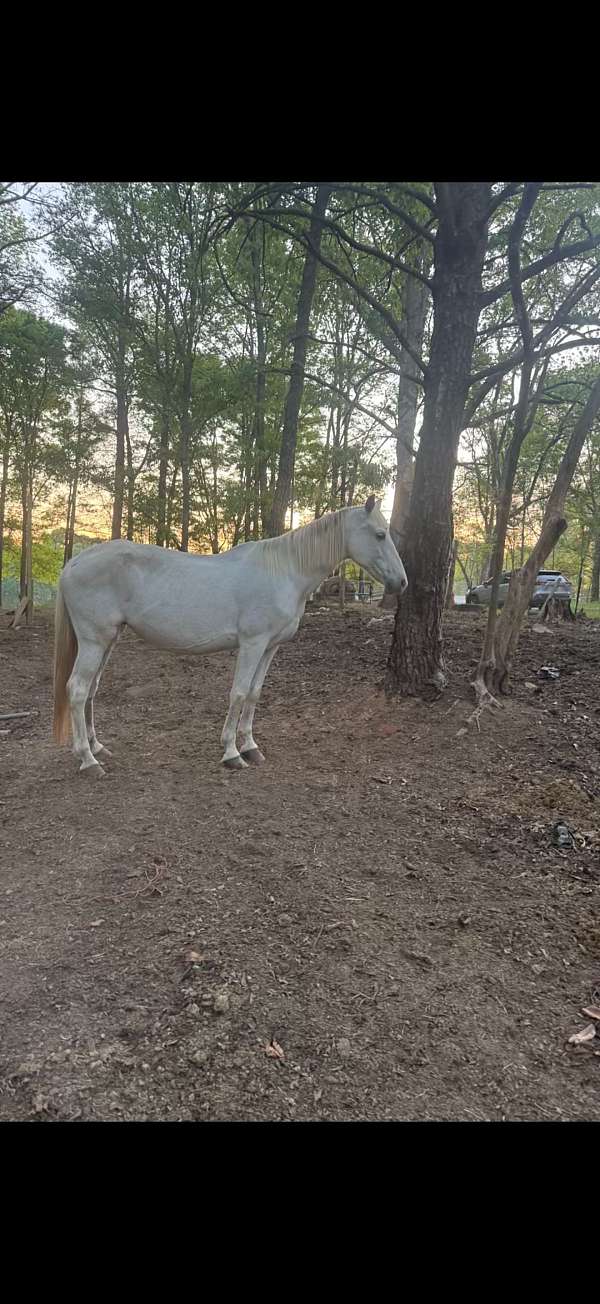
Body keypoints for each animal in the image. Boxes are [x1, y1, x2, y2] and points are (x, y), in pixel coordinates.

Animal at [53, 495, 407, 776]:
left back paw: (97, 747)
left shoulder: (270, 648)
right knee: (78, 689)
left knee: (92, 689)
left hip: (108, 640)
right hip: (94, 642)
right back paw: (88, 760)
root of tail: (74, 563)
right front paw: (232, 753)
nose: (401, 582)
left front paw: (251, 746)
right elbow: (238, 693)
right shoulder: (252, 643)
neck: (284, 571)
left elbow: (254, 694)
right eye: (380, 534)